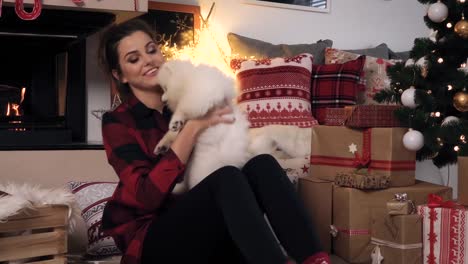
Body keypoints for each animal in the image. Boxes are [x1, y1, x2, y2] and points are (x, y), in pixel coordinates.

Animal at [154, 59, 250, 193]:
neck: (189, 78)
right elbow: (173, 133)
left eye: (165, 88)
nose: (163, 100)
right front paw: (162, 144)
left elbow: (183, 106)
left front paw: (175, 121)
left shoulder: (202, 93)